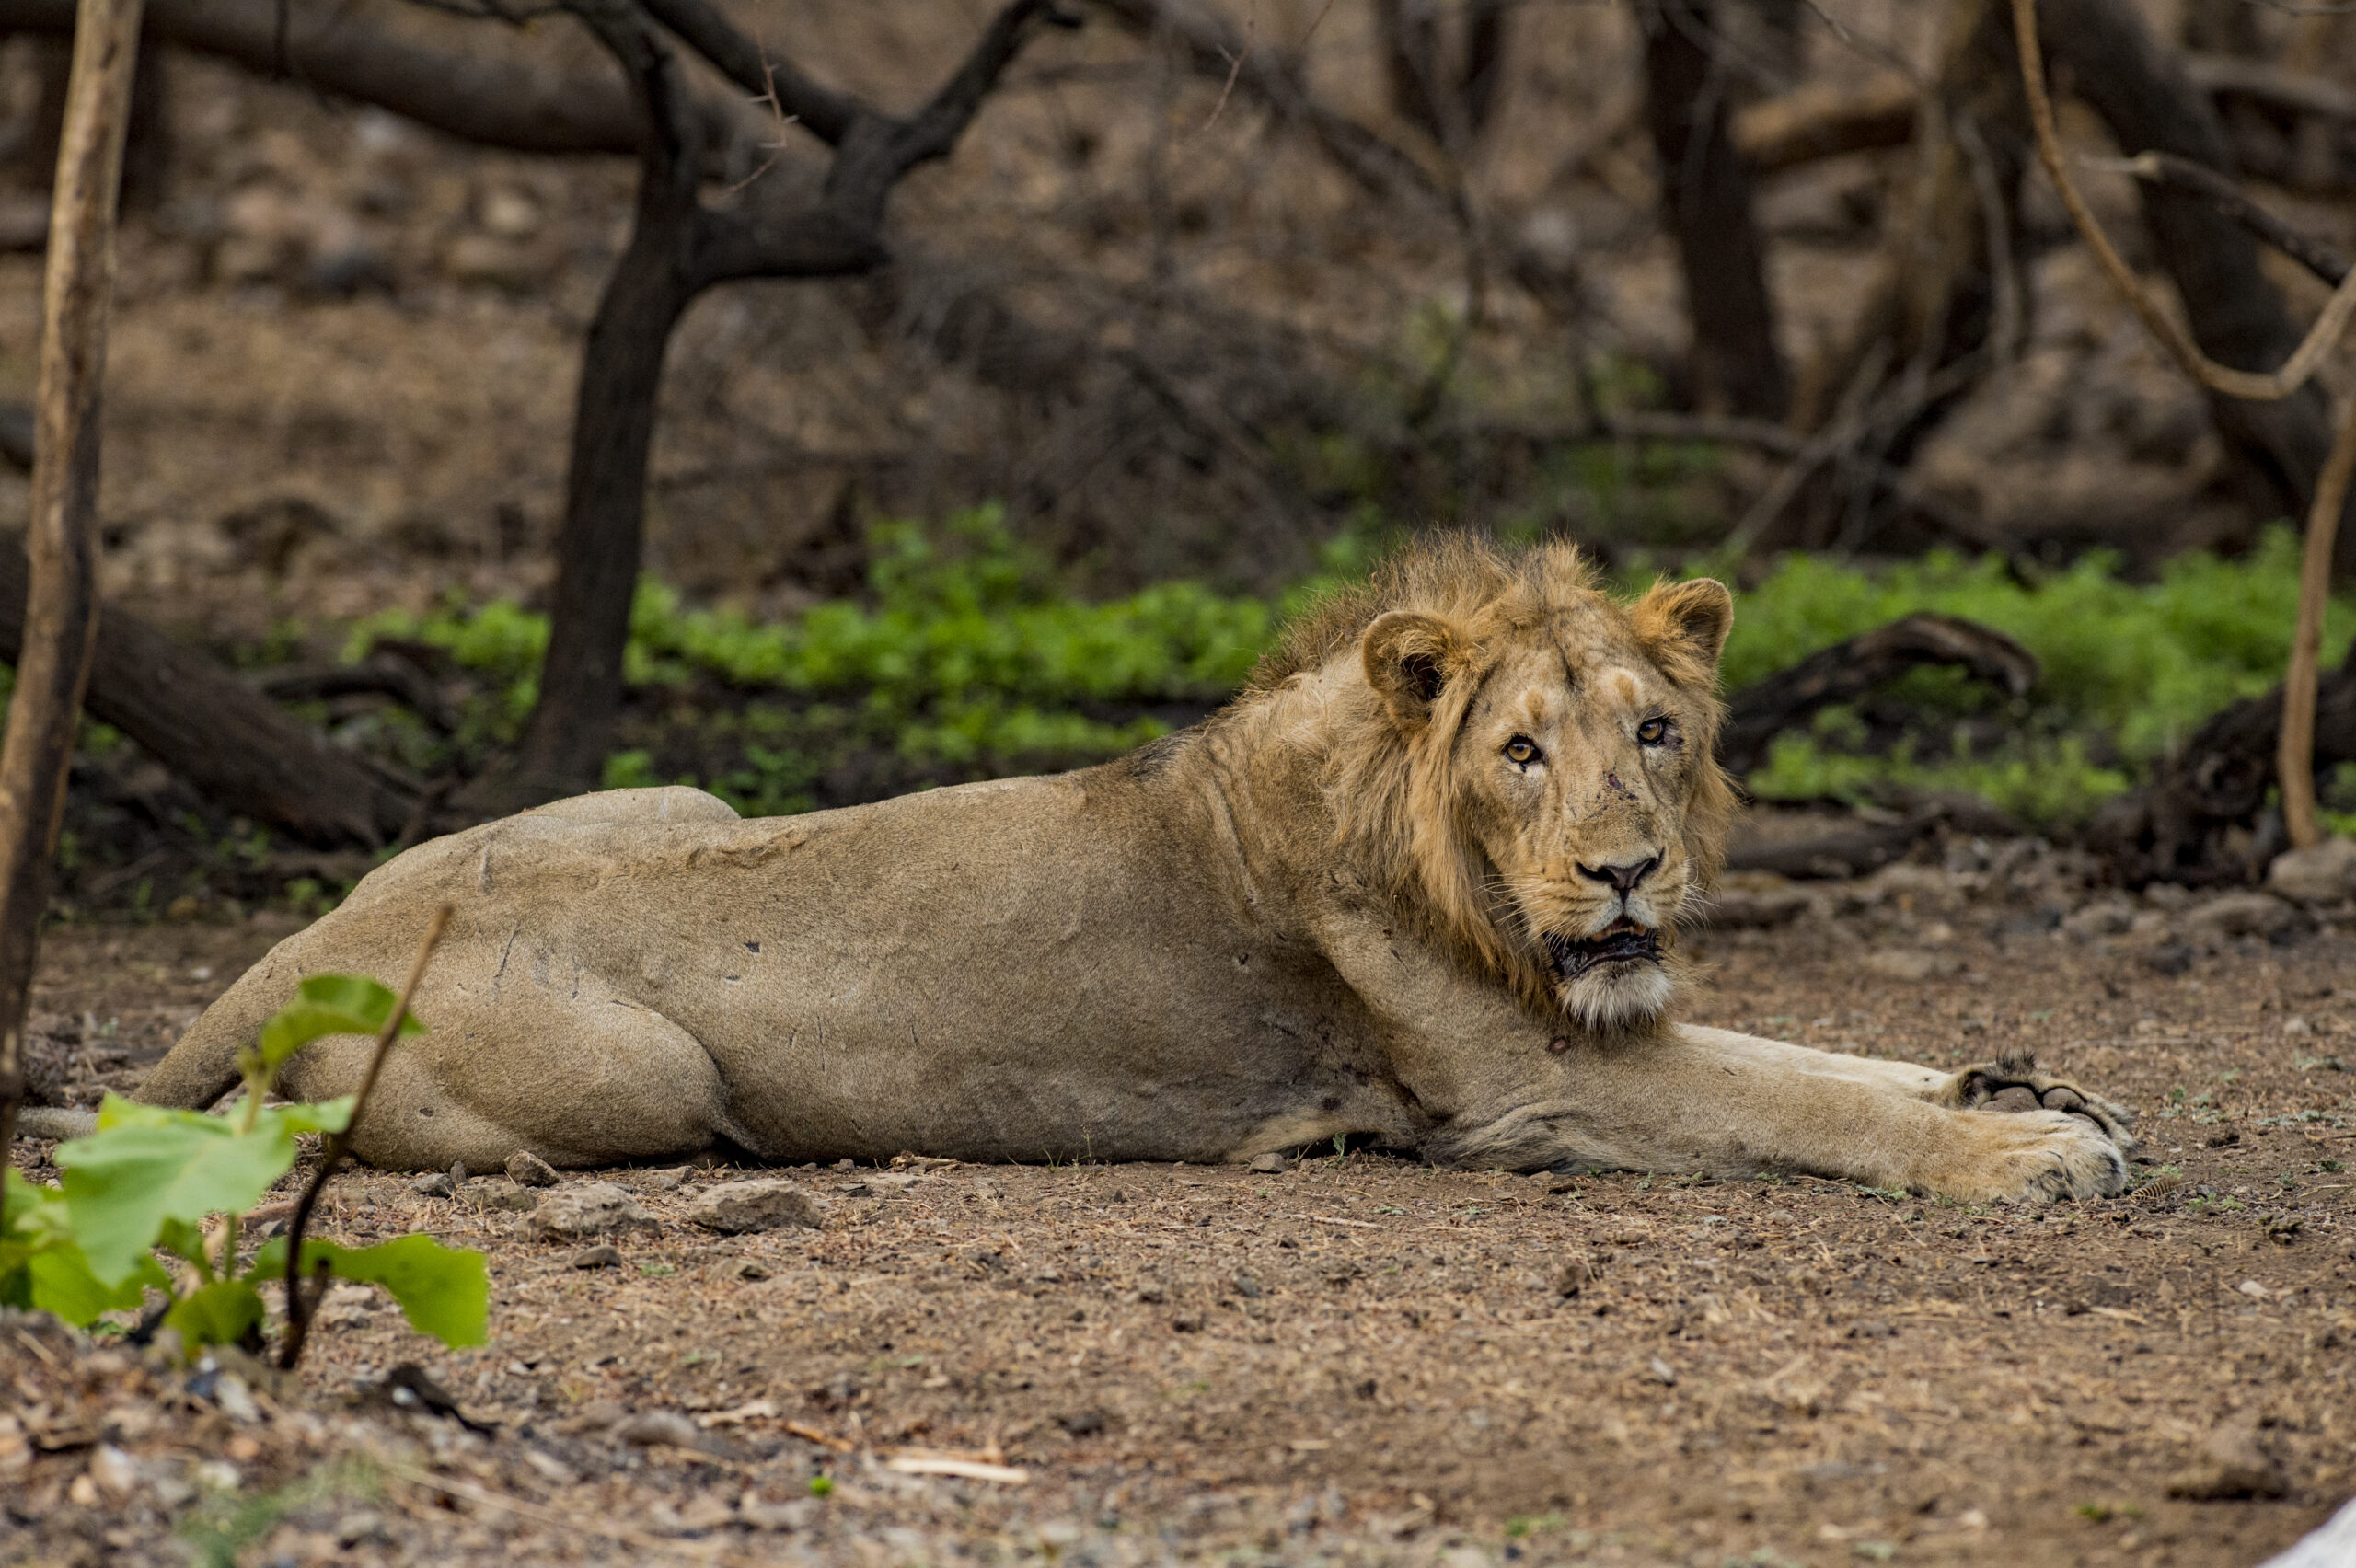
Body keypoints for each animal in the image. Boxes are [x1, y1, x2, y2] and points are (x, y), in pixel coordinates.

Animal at [136, 537, 2131, 1202]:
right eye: (1519, 752)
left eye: (1653, 729)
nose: (1629, 873)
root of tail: (321, 933)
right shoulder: (1520, 1089)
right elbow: (1801, 1103)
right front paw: (2022, 1152)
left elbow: (1823, 1058)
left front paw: (2029, 1086)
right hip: (653, 1078)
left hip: (672, 790)